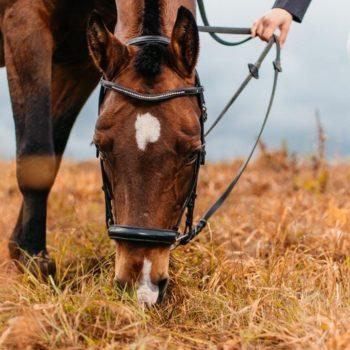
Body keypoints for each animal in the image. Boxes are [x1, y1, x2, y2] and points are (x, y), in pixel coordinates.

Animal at [0, 0, 200, 304]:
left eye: (192, 154)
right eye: (102, 149)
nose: (141, 286)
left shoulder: (80, 63)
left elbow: (54, 153)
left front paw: (19, 249)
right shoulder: (24, 21)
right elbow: (37, 157)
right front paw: (33, 260)